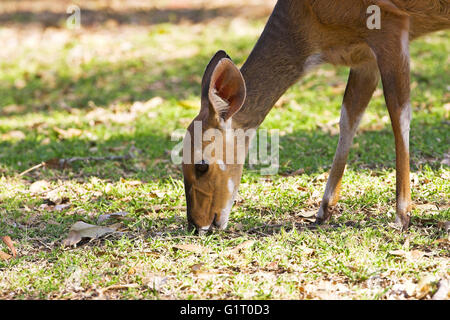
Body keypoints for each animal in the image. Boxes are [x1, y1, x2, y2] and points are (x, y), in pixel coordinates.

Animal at [181, 0, 448, 231]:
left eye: (201, 165)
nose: (197, 225)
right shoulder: (363, 58)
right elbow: (349, 117)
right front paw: (323, 212)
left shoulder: (392, 25)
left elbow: (399, 114)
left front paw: (402, 216)